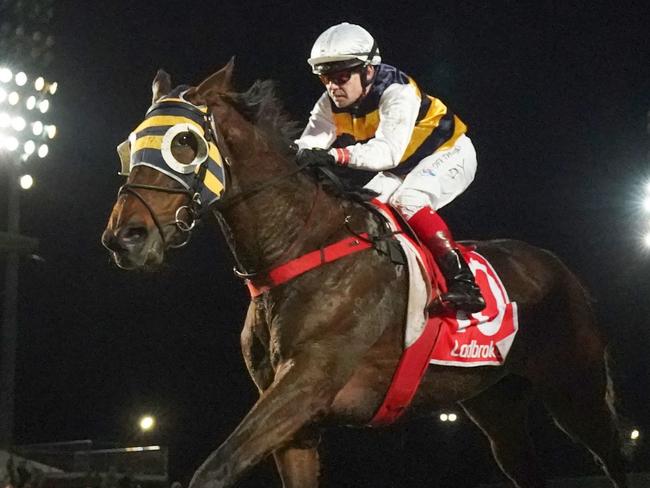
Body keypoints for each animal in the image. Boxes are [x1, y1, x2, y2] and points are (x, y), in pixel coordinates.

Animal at [98, 61, 624, 488]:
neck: (298, 246)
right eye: (129, 145)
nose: (125, 237)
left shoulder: (309, 383)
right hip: (497, 404)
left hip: (576, 390)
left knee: (614, 459)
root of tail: (565, 272)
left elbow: (215, 468)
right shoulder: (296, 422)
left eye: (183, 143)